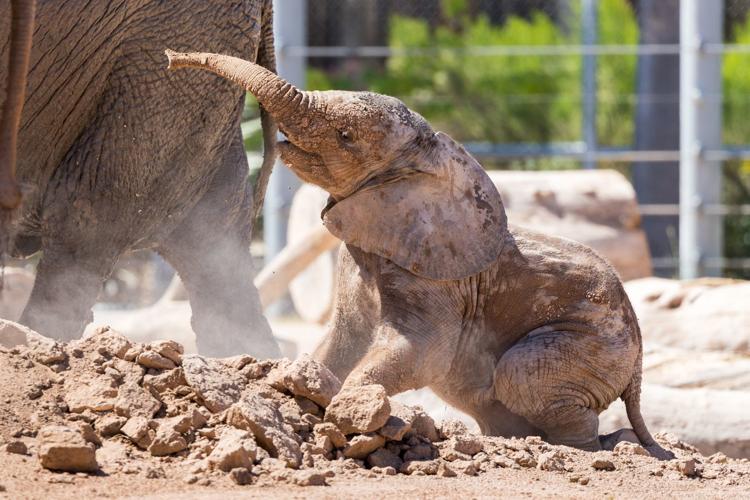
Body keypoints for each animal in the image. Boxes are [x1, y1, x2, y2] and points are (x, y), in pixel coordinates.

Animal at [167, 51, 673, 458]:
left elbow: (421, 351)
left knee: (520, 374)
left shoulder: (437, 280)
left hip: (591, 345)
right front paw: (296, 386)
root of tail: (639, 361)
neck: (429, 162)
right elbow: (343, 338)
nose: (173, 58)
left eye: (346, 135)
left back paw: (581, 449)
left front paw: (347, 414)